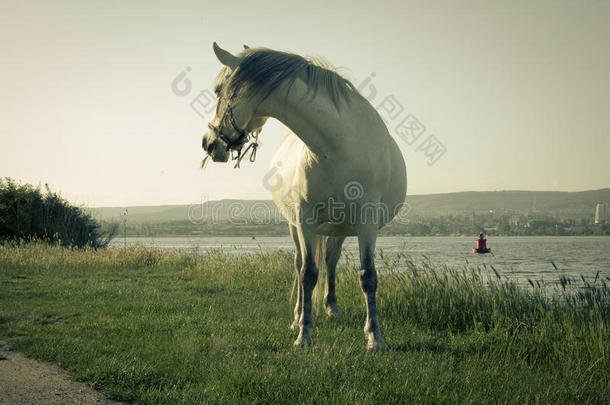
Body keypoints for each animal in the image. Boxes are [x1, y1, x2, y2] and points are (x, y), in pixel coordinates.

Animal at [202, 42, 406, 348]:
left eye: (217, 90)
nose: (208, 143)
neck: (336, 147)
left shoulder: (367, 221)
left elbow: (367, 275)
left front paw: (374, 338)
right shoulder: (305, 220)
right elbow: (307, 274)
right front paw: (304, 335)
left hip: (340, 228)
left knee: (331, 261)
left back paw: (332, 307)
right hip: (295, 226)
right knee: (300, 265)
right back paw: (298, 316)